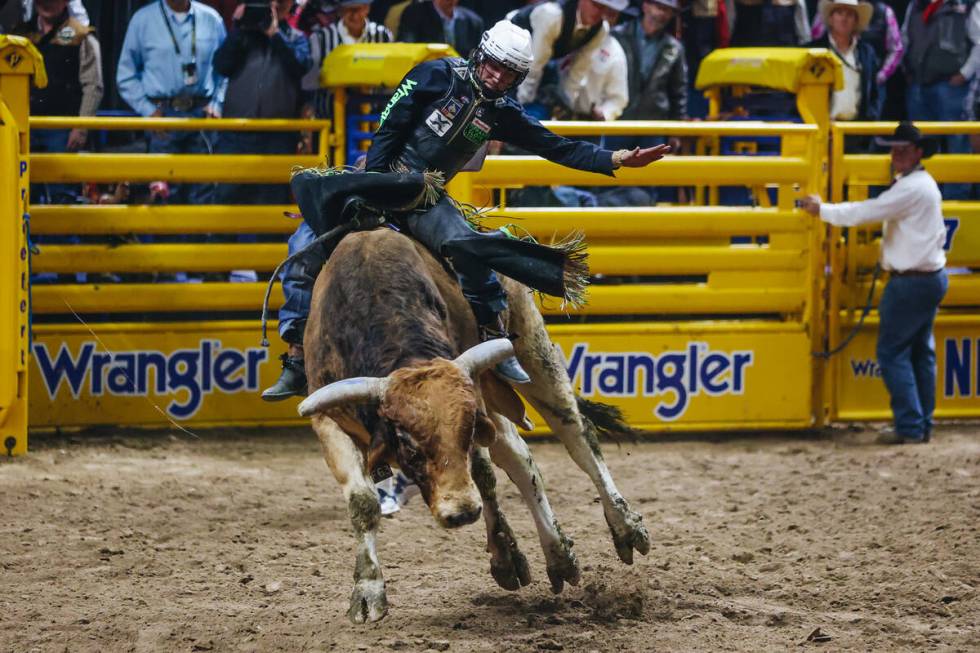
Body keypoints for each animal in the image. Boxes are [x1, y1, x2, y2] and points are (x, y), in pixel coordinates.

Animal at [288, 168, 648, 620]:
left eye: (465, 428)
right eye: (406, 442)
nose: (460, 513)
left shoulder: (475, 400)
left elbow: (483, 473)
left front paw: (506, 557)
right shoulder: (327, 418)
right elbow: (362, 502)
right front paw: (368, 591)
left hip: (532, 350)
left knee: (577, 437)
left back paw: (623, 529)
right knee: (520, 458)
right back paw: (559, 555)